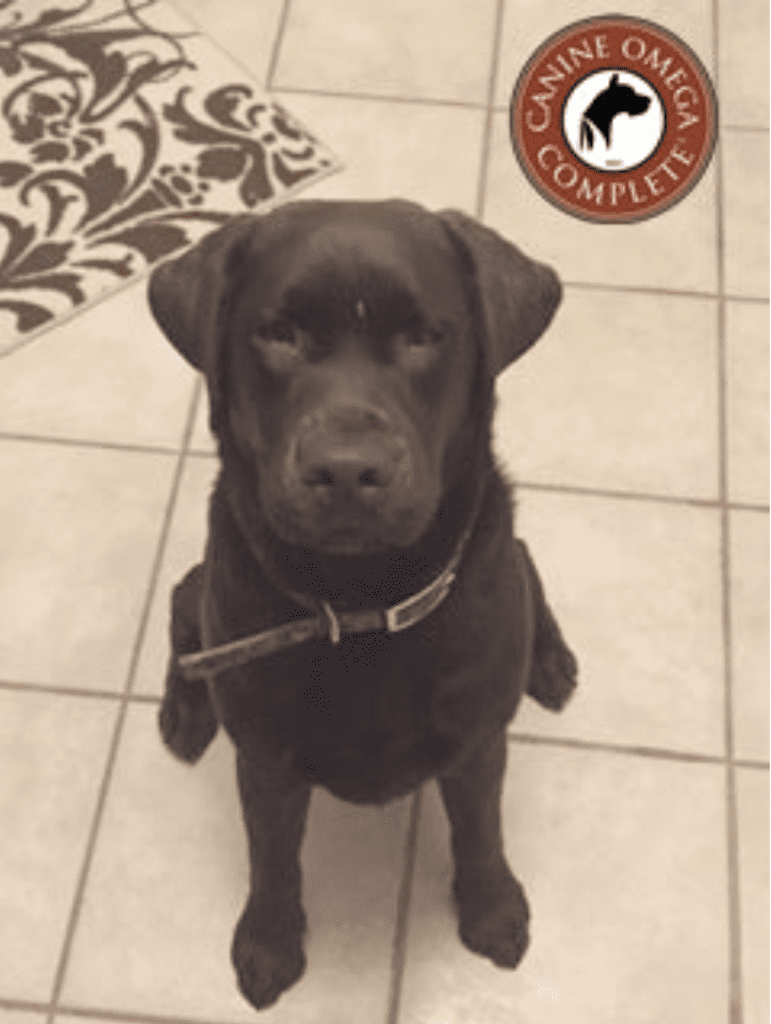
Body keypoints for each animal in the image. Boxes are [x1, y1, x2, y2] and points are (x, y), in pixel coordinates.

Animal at [147, 197, 577, 1007]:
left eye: (422, 336)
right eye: (277, 334)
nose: (346, 471)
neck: (360, 604)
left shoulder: (478, 742)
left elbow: (481, 829)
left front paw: (492, 909)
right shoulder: (266, 760)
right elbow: (272, 858)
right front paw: (269, 943)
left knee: (528, 562)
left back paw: (551, 659)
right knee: (184, 602)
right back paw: (186, 707)